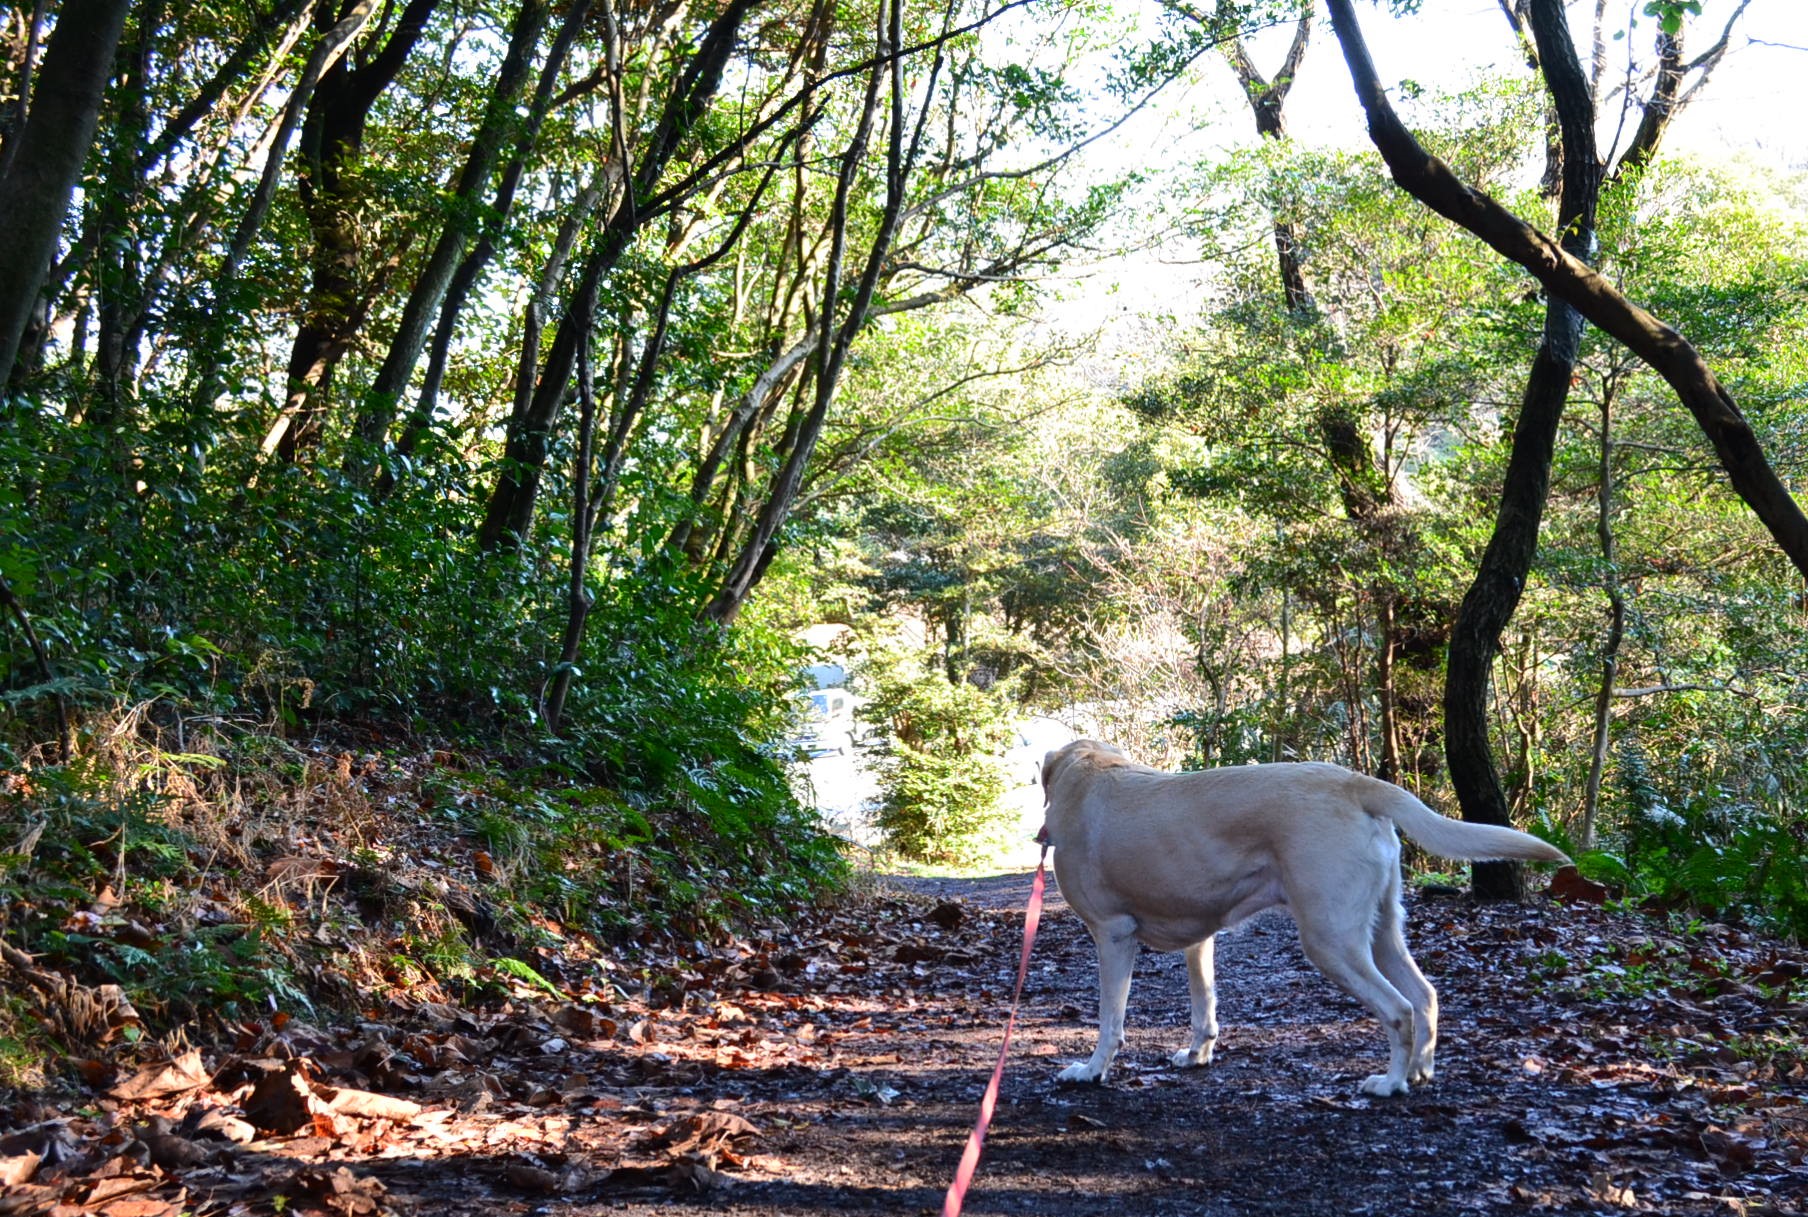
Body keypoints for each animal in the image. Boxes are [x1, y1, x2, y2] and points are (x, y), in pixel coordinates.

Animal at [1048, 734, 1569, 1099]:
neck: (1087, 771)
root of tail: (1357, 783)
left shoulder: (1112, 934)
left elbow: (1110, 1018)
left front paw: (1092, 1071)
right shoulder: (1201, 939)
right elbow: (1204, 1005)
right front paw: (1198, 1054)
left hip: (1329, 940)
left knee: (1398, 1009)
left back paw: (1390, 1083)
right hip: (1379, 930)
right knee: (1424, 996)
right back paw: (1420, 1070)